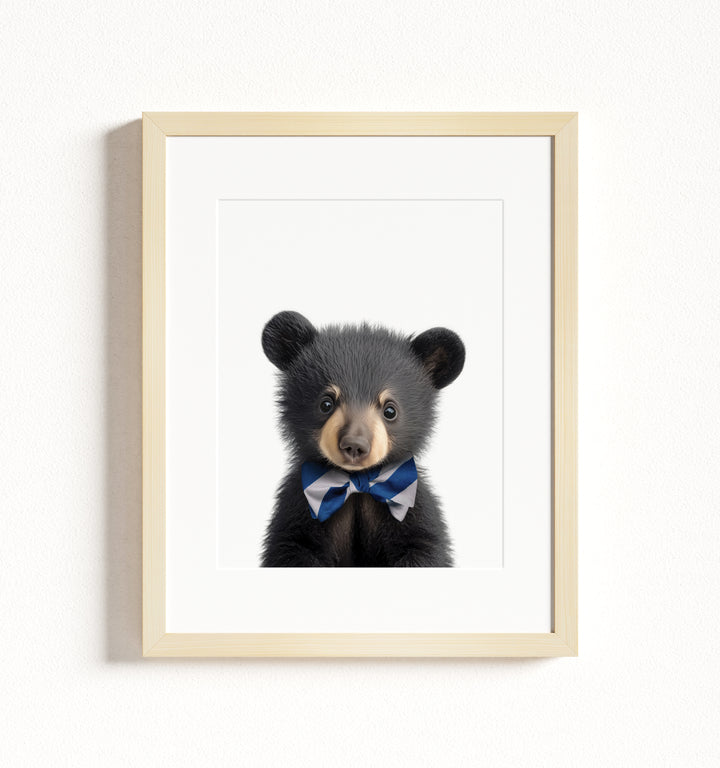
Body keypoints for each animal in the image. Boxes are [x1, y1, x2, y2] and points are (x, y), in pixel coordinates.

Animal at [260, 310, 465, 567]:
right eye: (326, 404)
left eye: (390, 410)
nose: (355, 445)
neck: (357, 486)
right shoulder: (297, 506)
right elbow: (291, 546)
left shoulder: (414, 506)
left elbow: (424, 544)